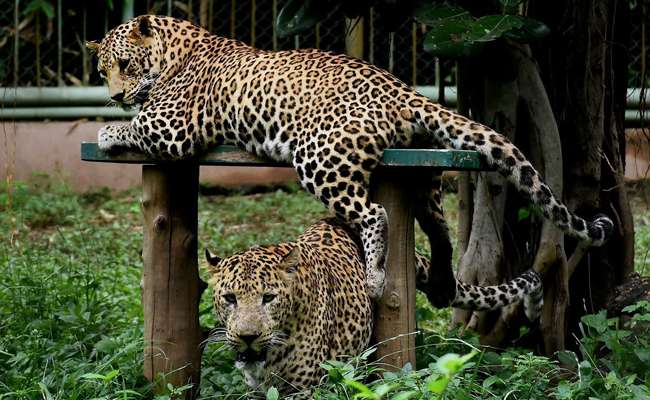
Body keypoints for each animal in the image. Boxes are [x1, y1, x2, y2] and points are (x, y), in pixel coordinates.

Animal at [88, 15, 613, 305]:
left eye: (125, 65)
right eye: (101, 69)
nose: (113, 96)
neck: (176, 46)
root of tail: (403, 90)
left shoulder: (172, 128)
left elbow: (136, 126)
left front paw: (107, 129)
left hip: (319, 158)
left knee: (376, 213)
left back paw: (377, 275)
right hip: (423, 171)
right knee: (437, 226)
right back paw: (443, 279)